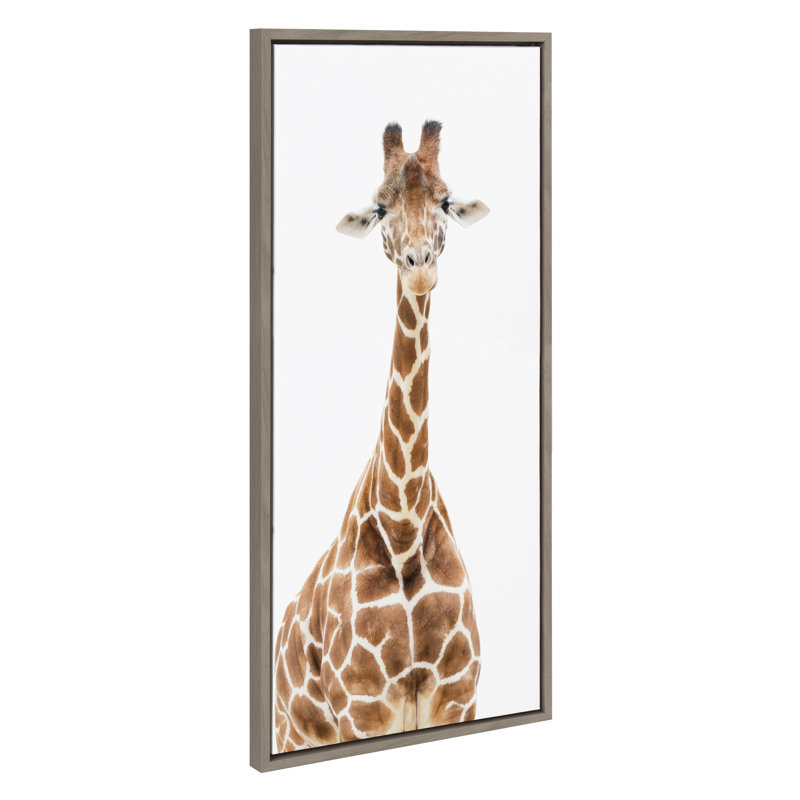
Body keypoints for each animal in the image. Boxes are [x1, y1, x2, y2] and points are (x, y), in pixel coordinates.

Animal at [273, 121, 490, 752]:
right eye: (379, 207)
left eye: (445, 201)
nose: (419, 263)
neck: (403, 524)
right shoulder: (361, 710)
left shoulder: (459, 697)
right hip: (294, 734)